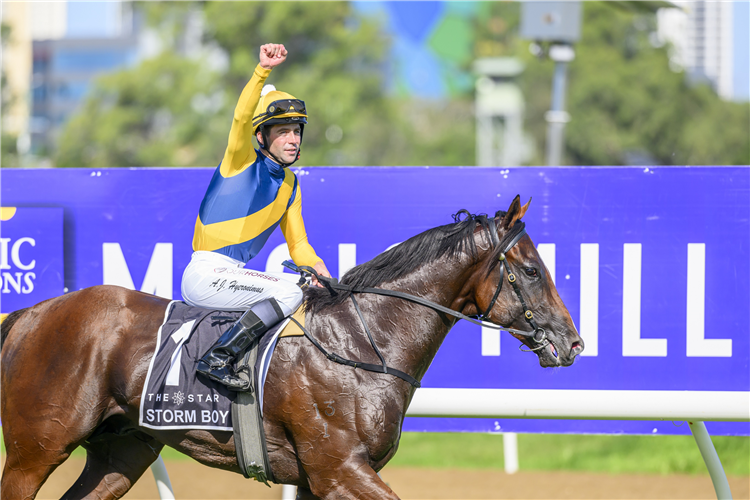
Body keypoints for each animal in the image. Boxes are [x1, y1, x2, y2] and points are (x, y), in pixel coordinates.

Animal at [0, 196, 584, 500]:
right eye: (532, 270)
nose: (572, 341)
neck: (362, 344)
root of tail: (31, 313)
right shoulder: (338, 470)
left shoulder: (315, 480)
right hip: (35, 451)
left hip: (122, 450)